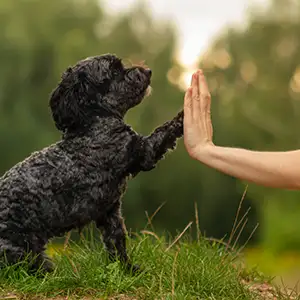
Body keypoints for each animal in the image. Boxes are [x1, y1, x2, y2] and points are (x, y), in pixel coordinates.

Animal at [0, 54, 183, 274]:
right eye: (114, 71)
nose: (148, 71)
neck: (92, 125)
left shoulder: (110, 211)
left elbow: (116, 242)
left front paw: (127, 269)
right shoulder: (142, 152)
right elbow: (164, 130)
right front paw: (186, 114)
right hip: (23, 250)